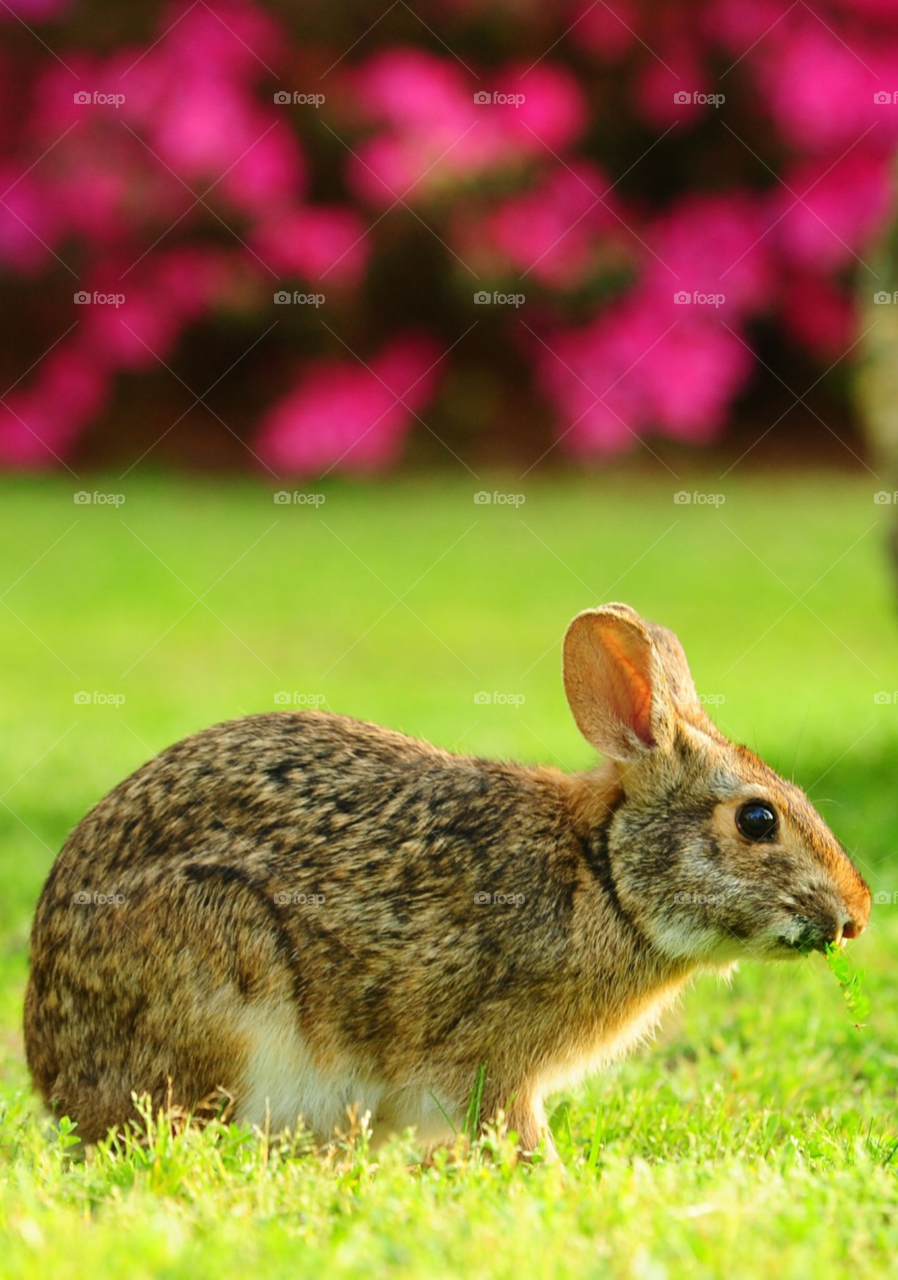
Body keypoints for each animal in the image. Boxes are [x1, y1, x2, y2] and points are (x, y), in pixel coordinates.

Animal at [25, 604, 871, 1155]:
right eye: (757, 820)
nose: (857, 914)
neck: (603, 875)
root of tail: (54, 1076)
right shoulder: (493, 1058)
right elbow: (511, 1125)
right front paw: (549, 1176)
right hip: (221, 968)